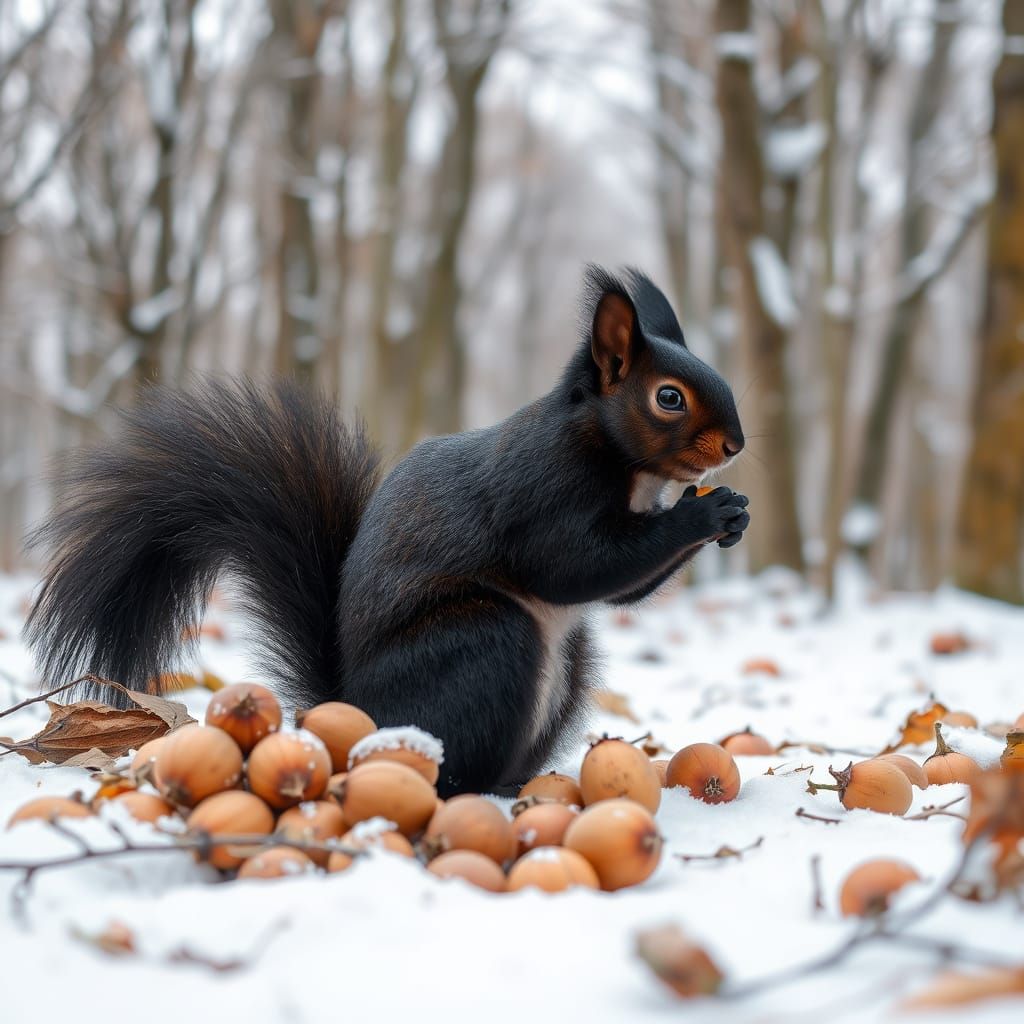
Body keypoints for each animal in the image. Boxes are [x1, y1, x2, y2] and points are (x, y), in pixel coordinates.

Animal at [25, 266, 748, 797]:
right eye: (668, 397)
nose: (736, 445)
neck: (624, 465)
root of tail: (358, 710)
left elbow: (622, 588)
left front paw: (734, 513)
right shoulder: (541, 491)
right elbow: (574, 566)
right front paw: (704, 513)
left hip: (568, 668)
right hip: (484, 639)